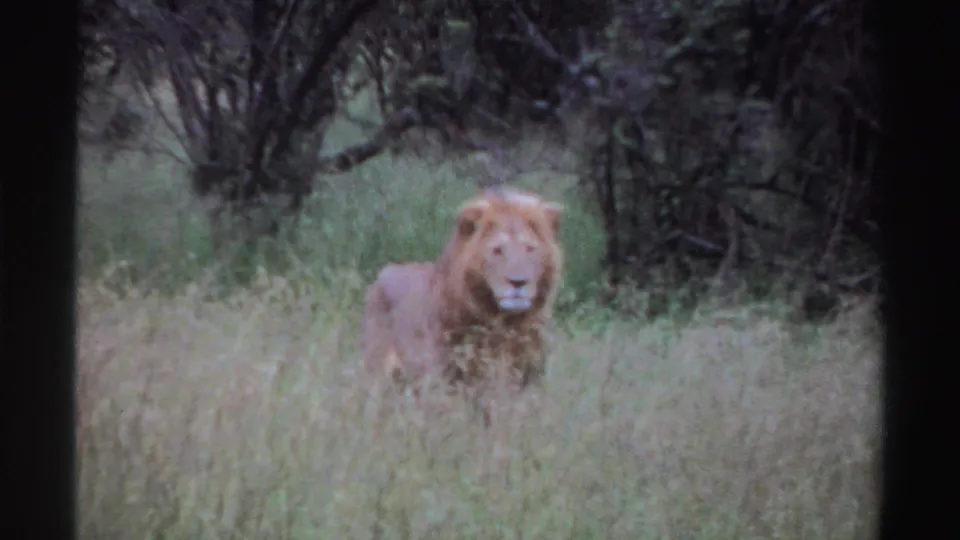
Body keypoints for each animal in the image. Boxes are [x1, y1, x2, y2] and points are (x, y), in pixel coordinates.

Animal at [362, 186, 564, 407]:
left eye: (530, 249)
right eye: (497, 250)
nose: (518, 282)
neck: (504, 323)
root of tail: (383, 273)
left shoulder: (523, 381)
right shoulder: (445, 381)